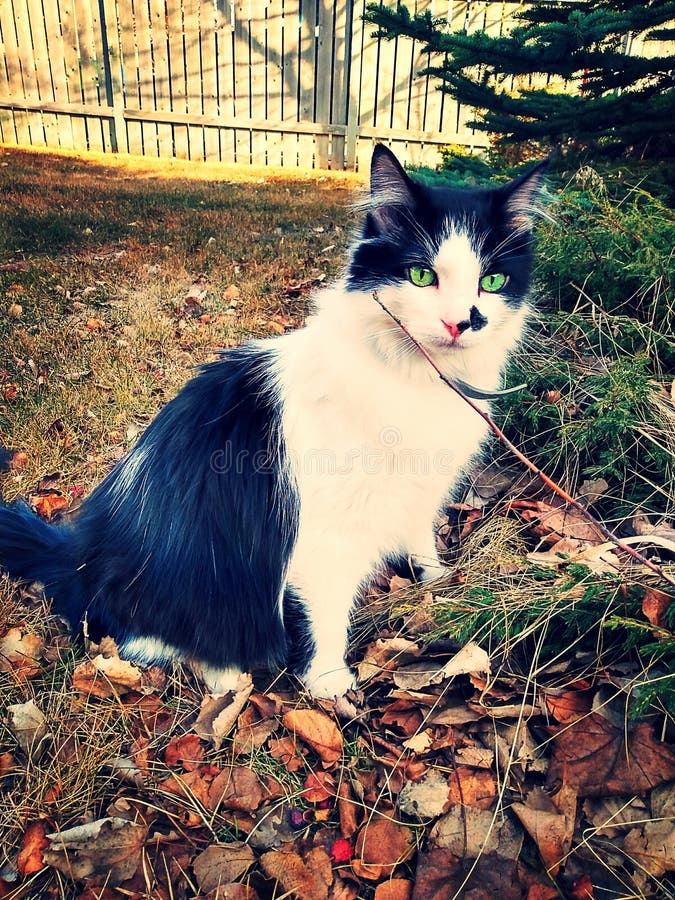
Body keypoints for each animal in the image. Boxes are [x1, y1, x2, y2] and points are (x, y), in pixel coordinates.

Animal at [0, 144, 548, 700]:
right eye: (421, 276)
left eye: (492, 281)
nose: (462, 322)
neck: (415, 381)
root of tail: (77, 555)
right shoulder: (323, 532)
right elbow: (327, 614)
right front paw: (329, 683)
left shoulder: (420, 489)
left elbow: (420, 537)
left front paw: (437, 579)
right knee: (140, 640)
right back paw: (225, 674)